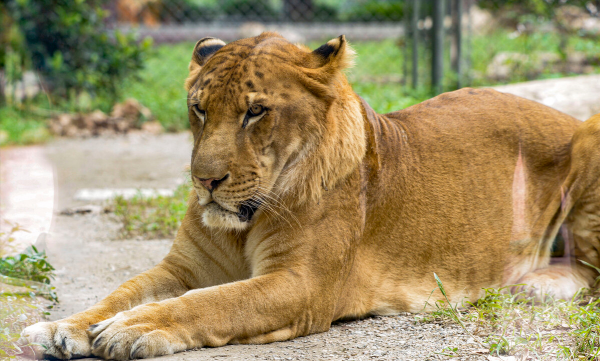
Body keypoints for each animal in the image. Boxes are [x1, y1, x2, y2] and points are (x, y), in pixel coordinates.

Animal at [18, 32, 600, 358]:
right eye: (199, 108)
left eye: (255, 112)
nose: (205, 181)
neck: (244, 224)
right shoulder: (183, 267)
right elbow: (122, 292)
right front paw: (63, 327)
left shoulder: (303, 284)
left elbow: (214, 303)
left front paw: (134, 327)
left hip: (589, 142)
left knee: (591, 273)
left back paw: (536, 285)